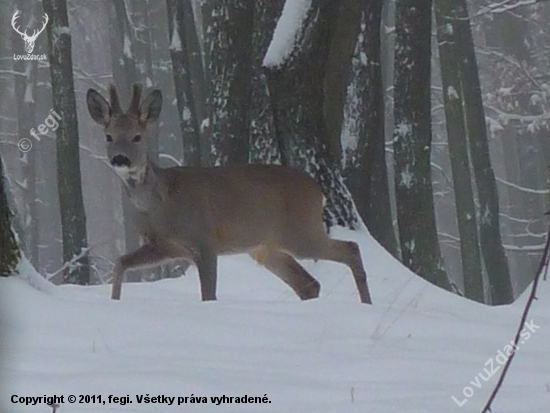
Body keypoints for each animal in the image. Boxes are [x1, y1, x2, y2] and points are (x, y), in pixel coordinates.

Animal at [86, 83, 376, 302]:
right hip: (267, 247)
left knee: (350, 248)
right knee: (308, 283)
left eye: (137, 136)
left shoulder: (204, 239)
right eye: (109, 136)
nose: (120, 159)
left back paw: (366, 303)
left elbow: (208, 294)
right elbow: (121, 262)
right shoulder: (163, 246)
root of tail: (317, 190)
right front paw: (114, 301)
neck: (159, 202)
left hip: (300, 232)